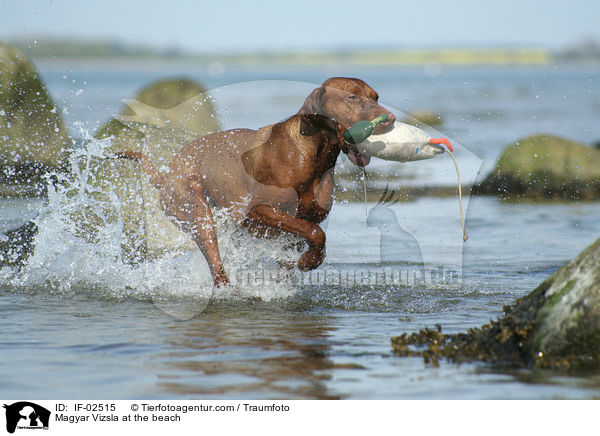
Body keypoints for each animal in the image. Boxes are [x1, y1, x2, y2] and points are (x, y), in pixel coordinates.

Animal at [119, 78, 396, 286]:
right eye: (352, 98)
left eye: (376, 97)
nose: (390, 118)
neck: (314, 157)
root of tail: (167, 174)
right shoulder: (258, 211)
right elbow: (316, 233)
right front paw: (309, 261)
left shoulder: (305, 219)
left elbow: (307, 234)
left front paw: (303, 262)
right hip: (198, 213)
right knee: (216, 264)